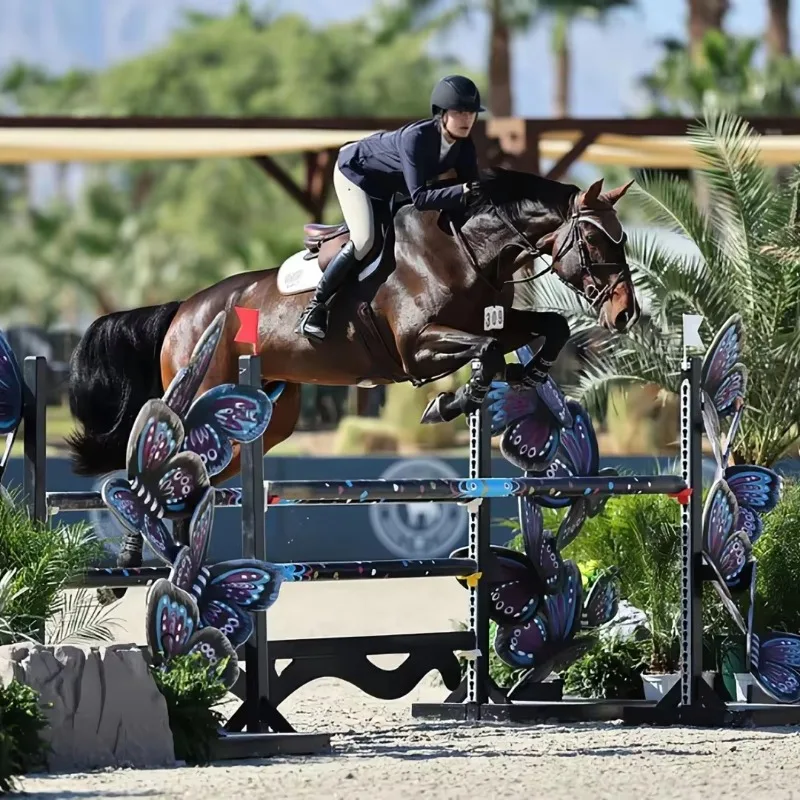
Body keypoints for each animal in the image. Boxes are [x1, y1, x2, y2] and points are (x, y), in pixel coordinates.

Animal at [67, 169, 638, 517]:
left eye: (623, 238)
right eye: (594, 241)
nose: (625, 313)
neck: (466, 248)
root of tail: (183, 310)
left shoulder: (494, 321)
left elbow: (548, 329)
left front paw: (528, 374)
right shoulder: (417, 346)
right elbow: (488, 353)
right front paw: (448, 402)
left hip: (266, 418)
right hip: (199, 398)